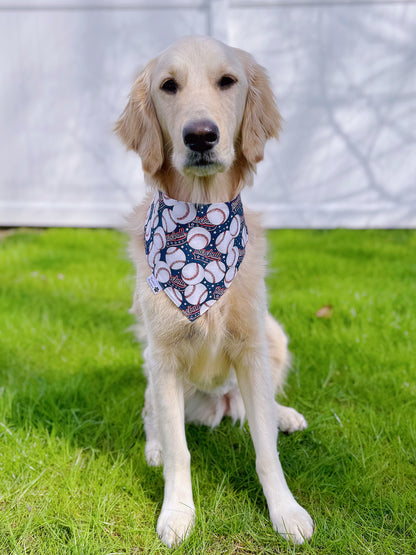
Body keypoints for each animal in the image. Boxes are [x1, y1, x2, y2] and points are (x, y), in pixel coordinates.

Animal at [115, 37, 314, 548]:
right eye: (169, 86)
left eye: (228, 81)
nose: (201, 136)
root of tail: (221, 407)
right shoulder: (164, 356)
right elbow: (180, 452)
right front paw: (178, 512)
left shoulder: (251, 347)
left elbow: (266, 449)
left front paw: (286, 511)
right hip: (150, 363)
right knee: (153, 418)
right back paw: (153, 448)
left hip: (274, 335)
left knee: (262, 408)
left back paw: (284, 414)